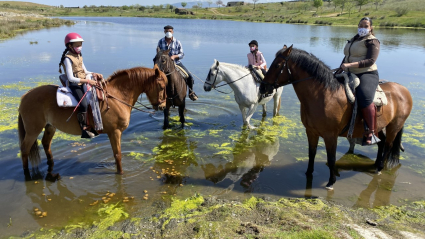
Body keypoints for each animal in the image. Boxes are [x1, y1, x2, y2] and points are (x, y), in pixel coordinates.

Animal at [18, 65, 167, 179]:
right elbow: (118, 155)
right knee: (25, 149)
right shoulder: (114, 132)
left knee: (46, 143)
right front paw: (121, 173)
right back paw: (26, 175)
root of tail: (25, 96)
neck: (116, 97)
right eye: (161, 87)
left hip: (50, 127)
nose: (163, 106)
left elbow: (116, 154)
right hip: (33, 130)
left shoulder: (115, 133)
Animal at [258, 45, 410, 190]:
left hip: (394, 127)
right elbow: (311, 153)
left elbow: (331, 159)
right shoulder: (311, 132)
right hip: (379, 127)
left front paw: (331, 182)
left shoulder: (330, 135)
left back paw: (379, 168)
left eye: (277, 65)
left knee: (388, 145)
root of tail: (403, 90)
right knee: (382, 143)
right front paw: (308, 173)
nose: (262, 88)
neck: (324, 95)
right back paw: (376, 164)